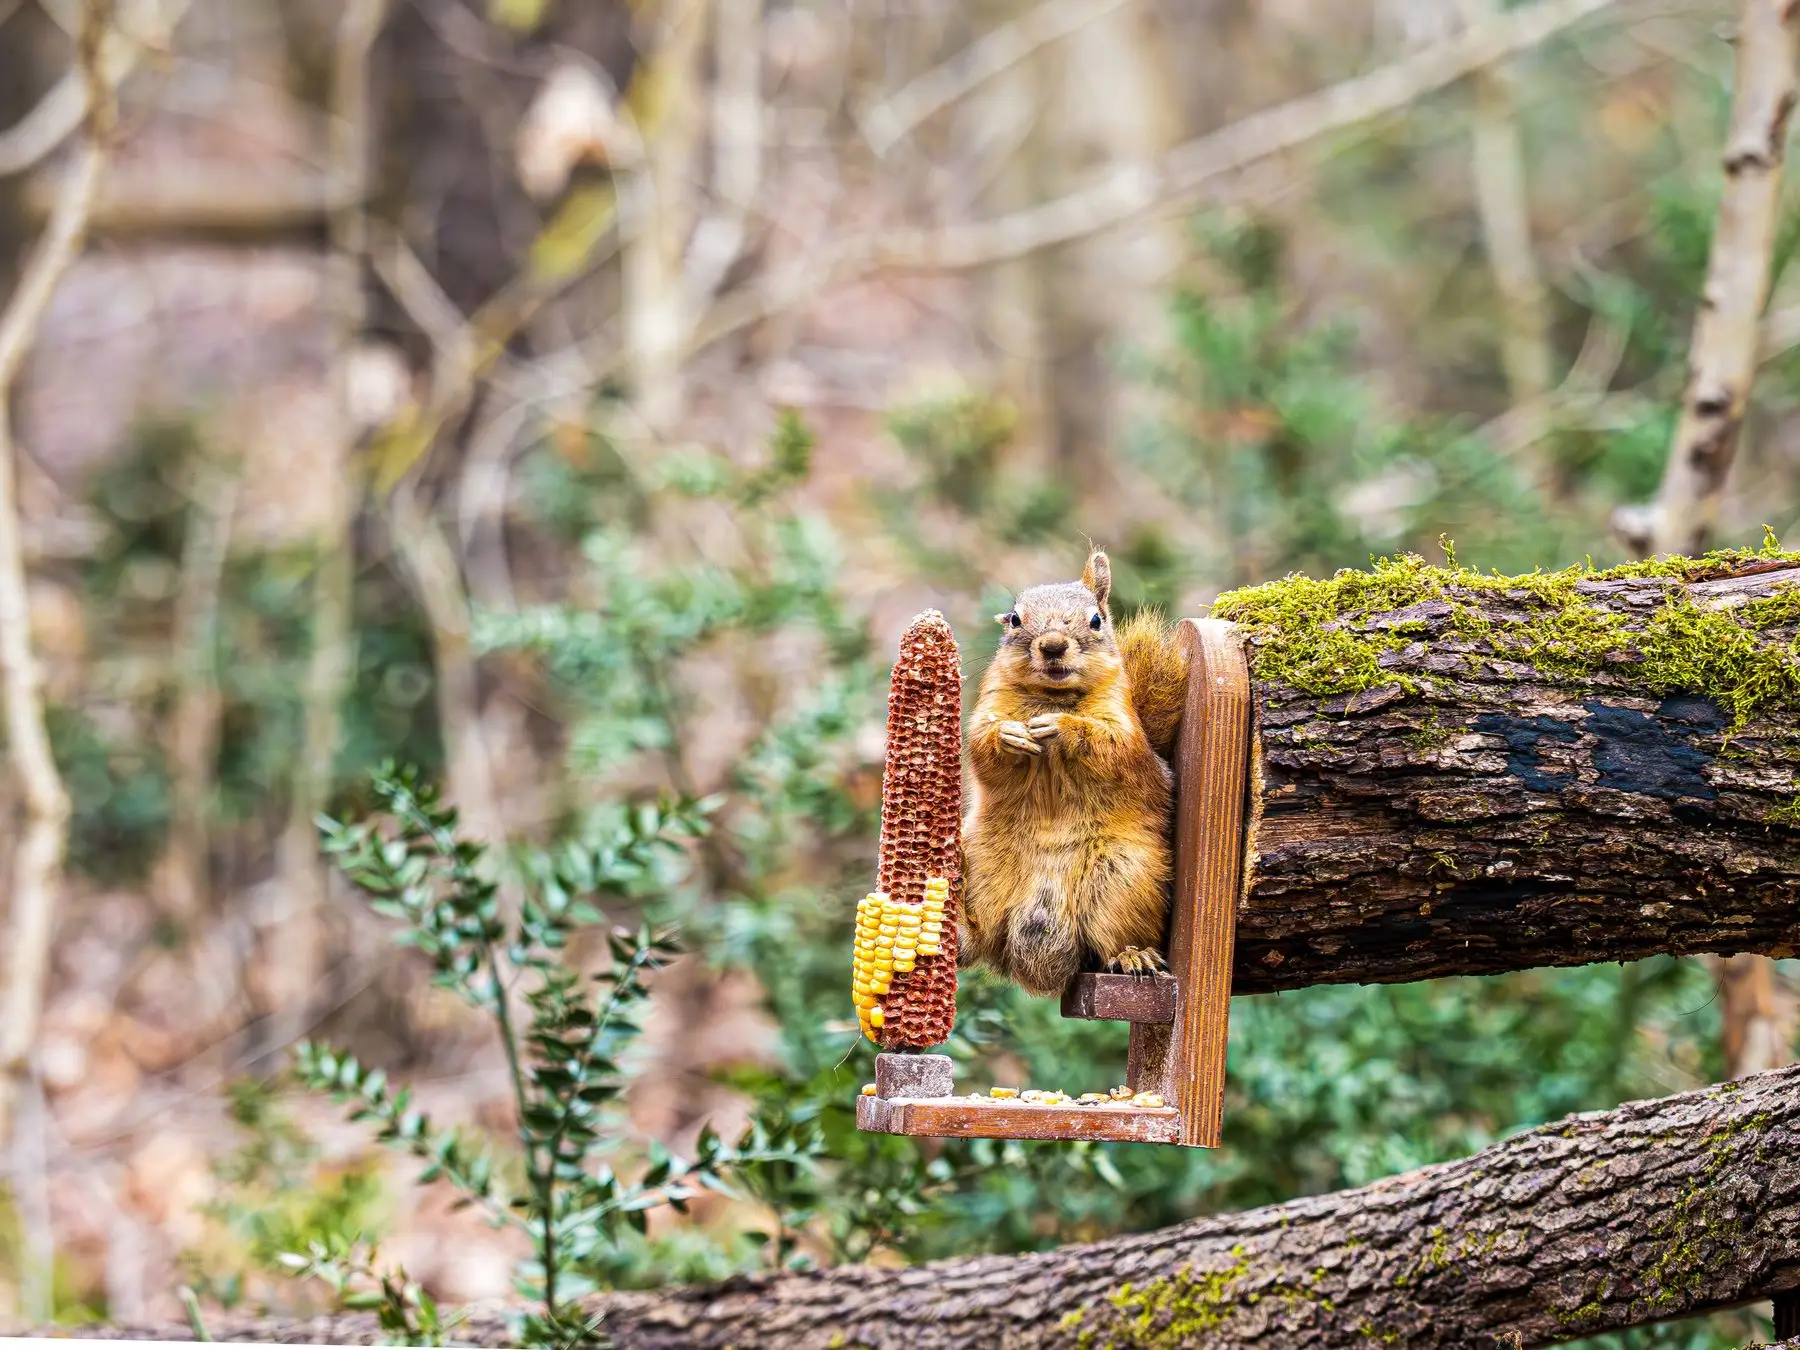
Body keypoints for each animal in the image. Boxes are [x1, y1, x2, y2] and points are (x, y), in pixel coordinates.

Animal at [959, 549, 1190, 997]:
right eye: (1015, 619)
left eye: (1096, 620)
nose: (1052, 646)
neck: (1052, 696)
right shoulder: (986, 708)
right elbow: (982, 744)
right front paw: (1010, 735)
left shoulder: (1124, 725)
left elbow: (1111, 745)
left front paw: (1062, 727)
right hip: (981, 866)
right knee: (977, 942)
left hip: (1123, 878)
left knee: (1112, 939)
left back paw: (1133, 956)